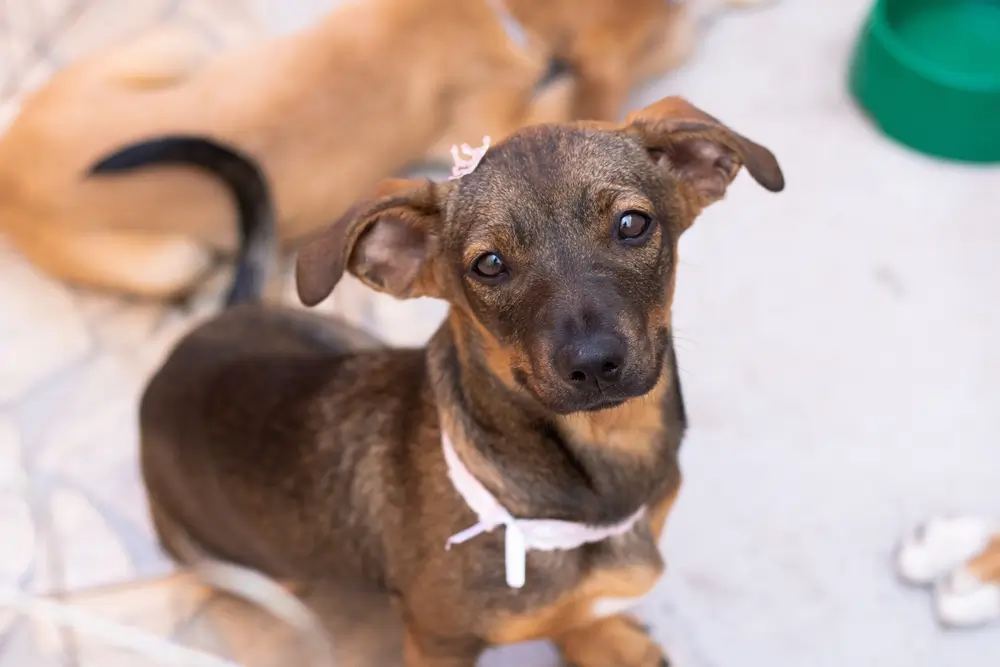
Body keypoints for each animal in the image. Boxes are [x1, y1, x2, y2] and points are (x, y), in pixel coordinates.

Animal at [121, 95, 784, 667]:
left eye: (632, 224)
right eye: (488, 264)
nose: (593, 364)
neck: (602, 461)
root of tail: (191, 338)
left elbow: (576, 611)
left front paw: (601, 639)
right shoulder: (438, 641)